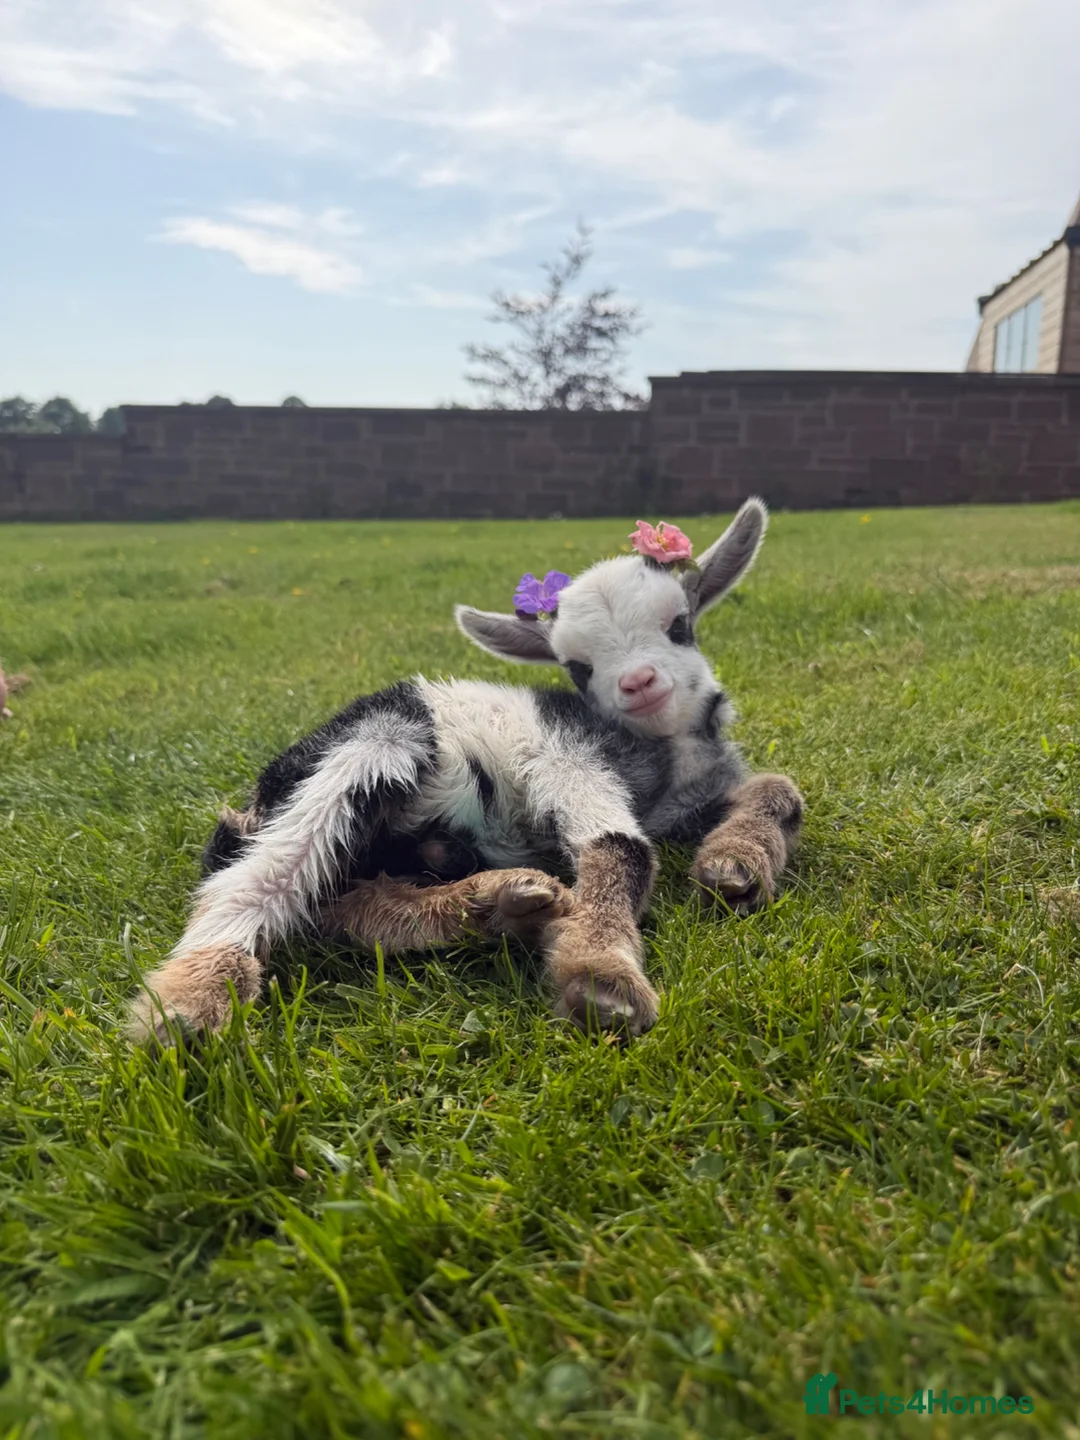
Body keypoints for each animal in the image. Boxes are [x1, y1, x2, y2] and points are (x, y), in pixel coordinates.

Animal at [128, 498, 802, 1045]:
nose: (638, 682)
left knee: (338, 906)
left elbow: (780, 790)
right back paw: (190, 1003)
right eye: (577, 667)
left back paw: (497, 906)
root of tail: (258, 800)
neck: (664, 755)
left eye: (680, 625)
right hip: (377, 741)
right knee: (261, 878)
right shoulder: (565, 754)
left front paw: (736, 867)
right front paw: (600, 980)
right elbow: (622, 845)